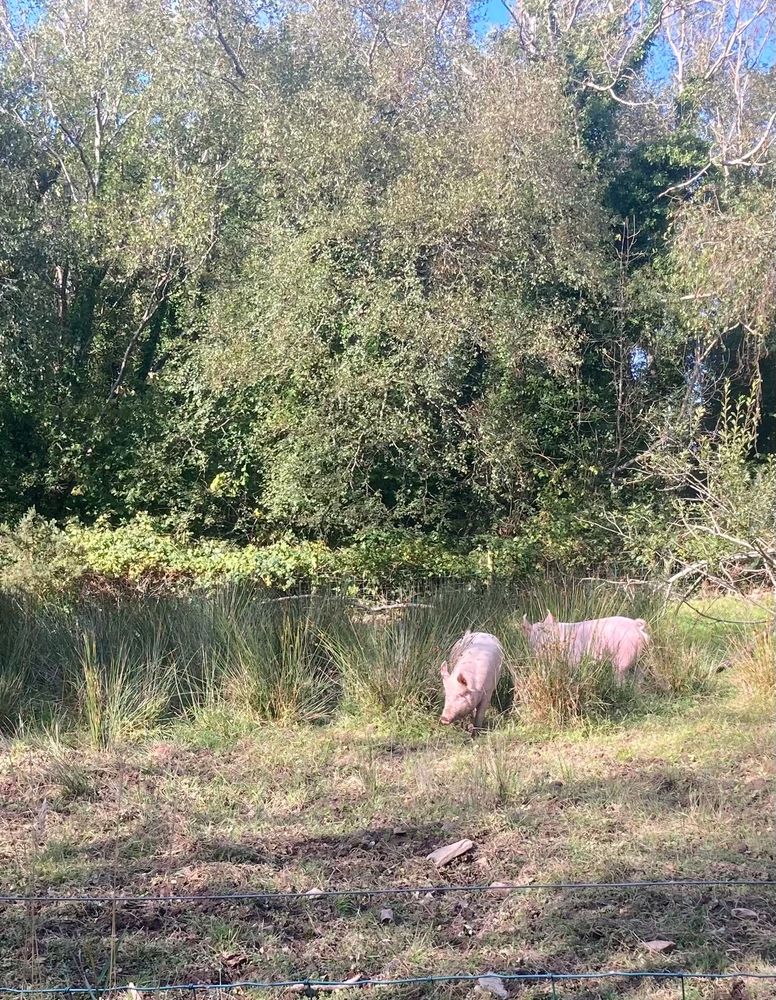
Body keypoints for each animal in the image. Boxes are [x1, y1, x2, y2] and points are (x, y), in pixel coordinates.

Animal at [521, 611, 649, 681]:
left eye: (547, 632)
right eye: (533, 636)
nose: (543, 645)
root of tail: (636, 626)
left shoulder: (574, 658)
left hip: (623, 656)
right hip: (643, 658)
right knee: (640, 674)